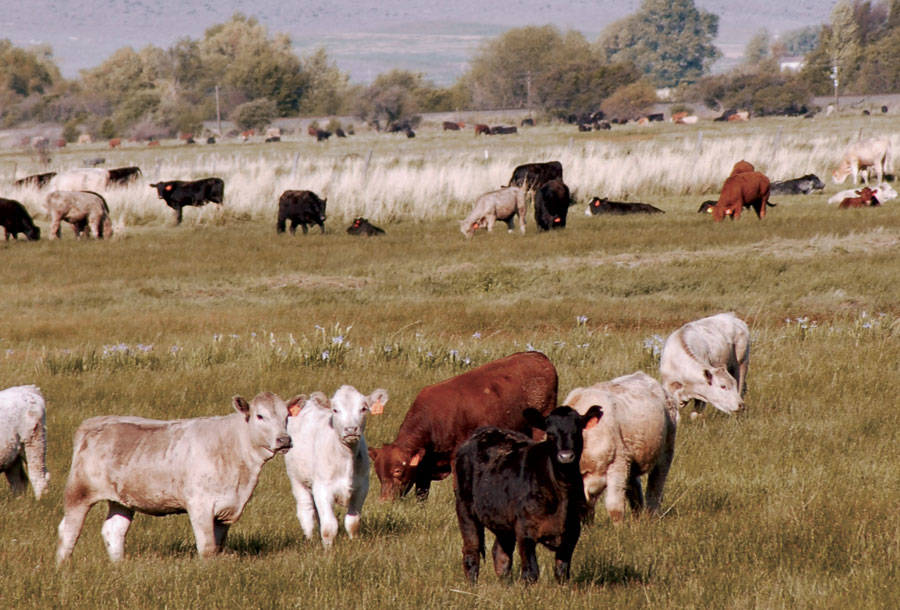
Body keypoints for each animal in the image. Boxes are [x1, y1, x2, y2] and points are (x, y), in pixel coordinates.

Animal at [55, 392, 299, 564]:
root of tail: (95, 422)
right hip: (79, 491)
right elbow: (207, 547)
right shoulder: (200, 504)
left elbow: (218, 545)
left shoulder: (226, 507)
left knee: (114, 531)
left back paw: (118, 565)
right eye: (260, 416)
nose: (284, 440)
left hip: (122, 499)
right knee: (69, 531)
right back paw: (63, 565)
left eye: (287, 416)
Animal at [284, 386, 388, 547]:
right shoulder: (322, 488)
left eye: (363, 408)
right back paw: (310, 539)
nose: (351, 429)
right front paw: (328, 549)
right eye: (335, 410)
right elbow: (329, 526)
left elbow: (352, 522)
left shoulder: (361, 487)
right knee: (305, 510)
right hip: (296, 478)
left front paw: (354, 542)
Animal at [369, 351, 558, 502]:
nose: (384, 501)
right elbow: (422, 493)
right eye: (378, 472)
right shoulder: (425, 467)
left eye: (397, 471)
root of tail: (539, 357)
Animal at [454, 405, 603, 584]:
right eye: (550, 434)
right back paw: (472, 586)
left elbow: (562, 571)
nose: (565, 456)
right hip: (465, 508)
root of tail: (481, 433)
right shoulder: (525, 530)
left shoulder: (573, 530)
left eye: (577, 431)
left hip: (503, 521)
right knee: (471, 552)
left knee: (501, 553)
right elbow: (531, 572)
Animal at [563, 372, 678, 524]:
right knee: (635, 488)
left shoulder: (618, 464)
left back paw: (651, 516)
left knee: (655, 486)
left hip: (666, 451)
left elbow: (614, 506)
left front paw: (619, 528)